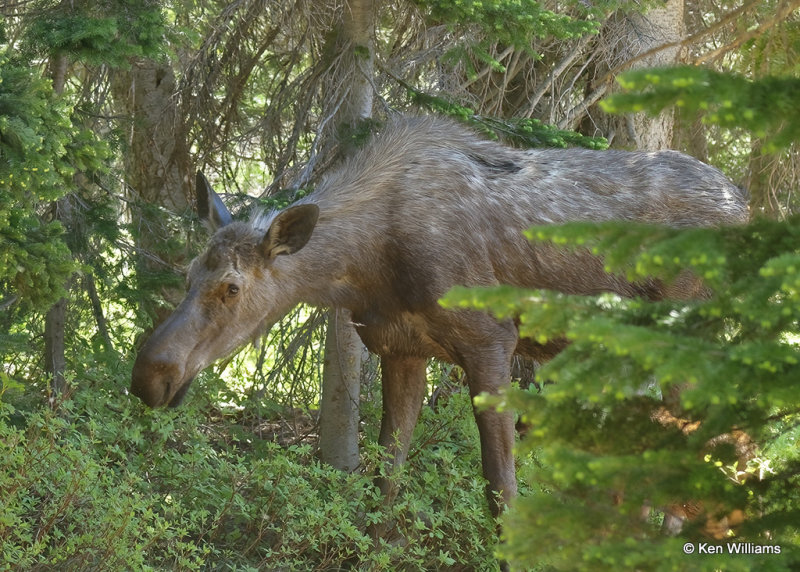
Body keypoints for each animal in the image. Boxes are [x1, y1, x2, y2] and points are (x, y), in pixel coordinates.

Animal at [131, 115, 752, 528]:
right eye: (189, 272)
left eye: (232, 287)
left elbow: (501, 490)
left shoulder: (491, 341)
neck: (367, 269)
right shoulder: (401, 350)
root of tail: (747, 205)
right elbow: (384, 476)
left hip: (687, 338)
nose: (148, 376)